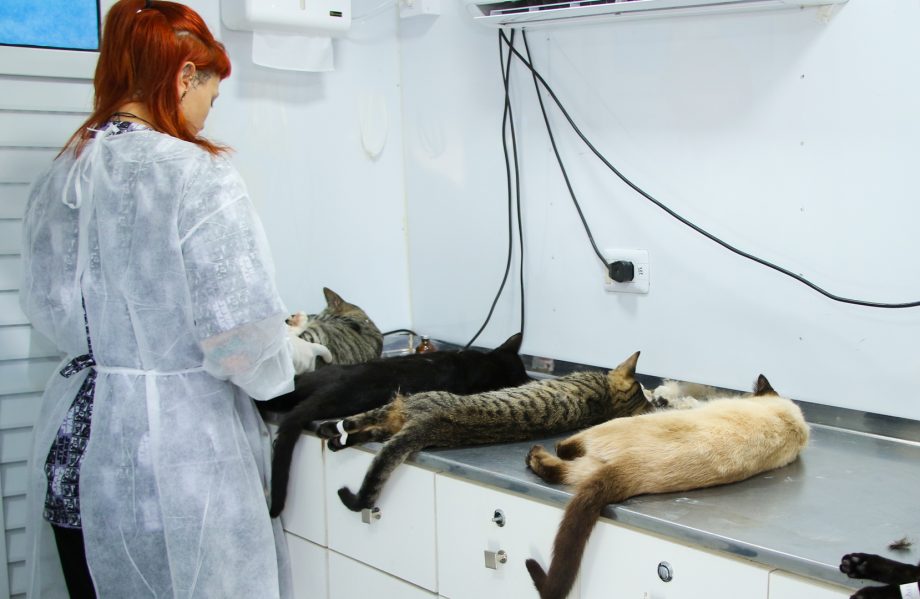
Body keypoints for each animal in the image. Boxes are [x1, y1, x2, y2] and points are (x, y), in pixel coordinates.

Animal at [316, 351, 653, 513]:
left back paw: (333, 430)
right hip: (401, 422)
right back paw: (336, 438)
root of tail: (431, 422)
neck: (606, 400)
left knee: (365, 421)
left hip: (408, 402)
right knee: (376, 432)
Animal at [524, 375, 810, 599]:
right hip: (590, 467)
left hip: (606, 430)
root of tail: (632, 467)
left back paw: (534, 454)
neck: (791, 422)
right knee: (561, 470)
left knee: (564, 448)